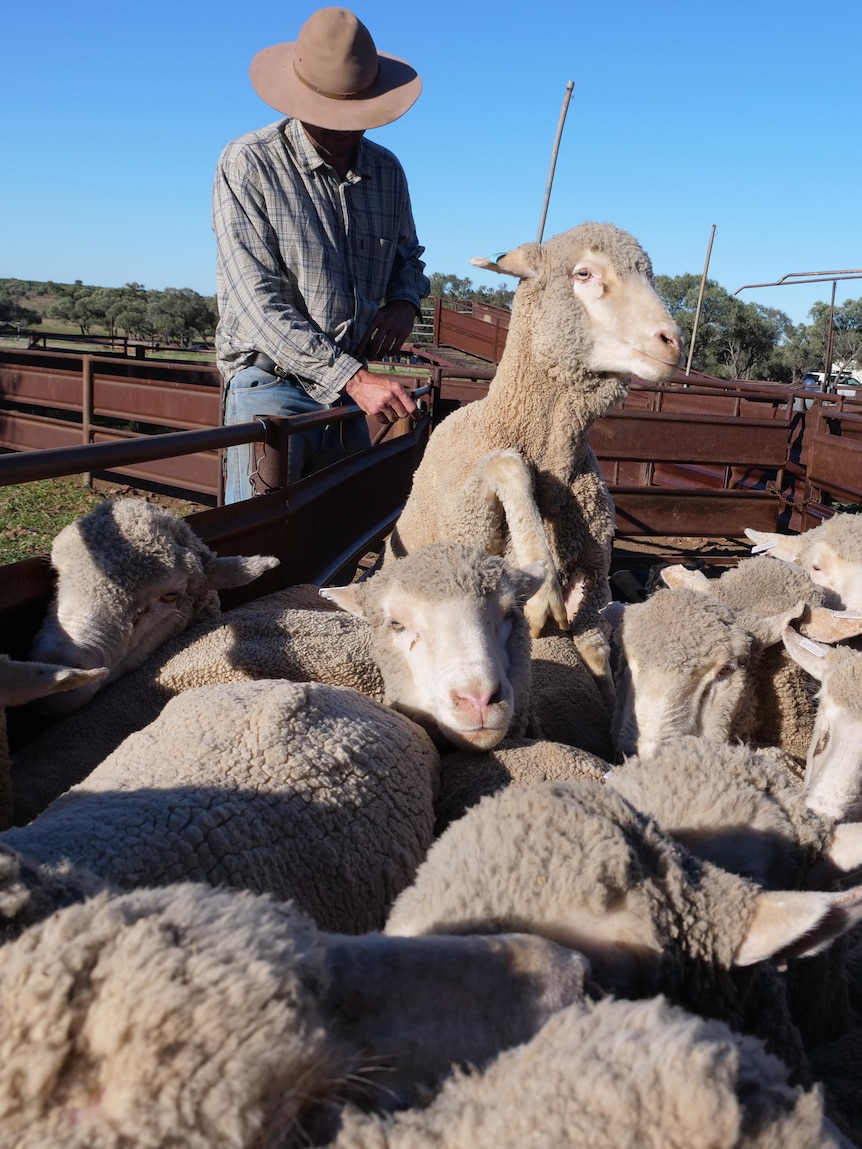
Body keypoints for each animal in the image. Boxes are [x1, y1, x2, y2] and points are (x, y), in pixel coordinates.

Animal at [385, 222, 682, 700]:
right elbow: (507, 465)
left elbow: (598, 660)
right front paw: (542, 590)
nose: (672, 342)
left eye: (650, 276)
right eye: (584, 273)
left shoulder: (594, 583)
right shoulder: (466, 529)